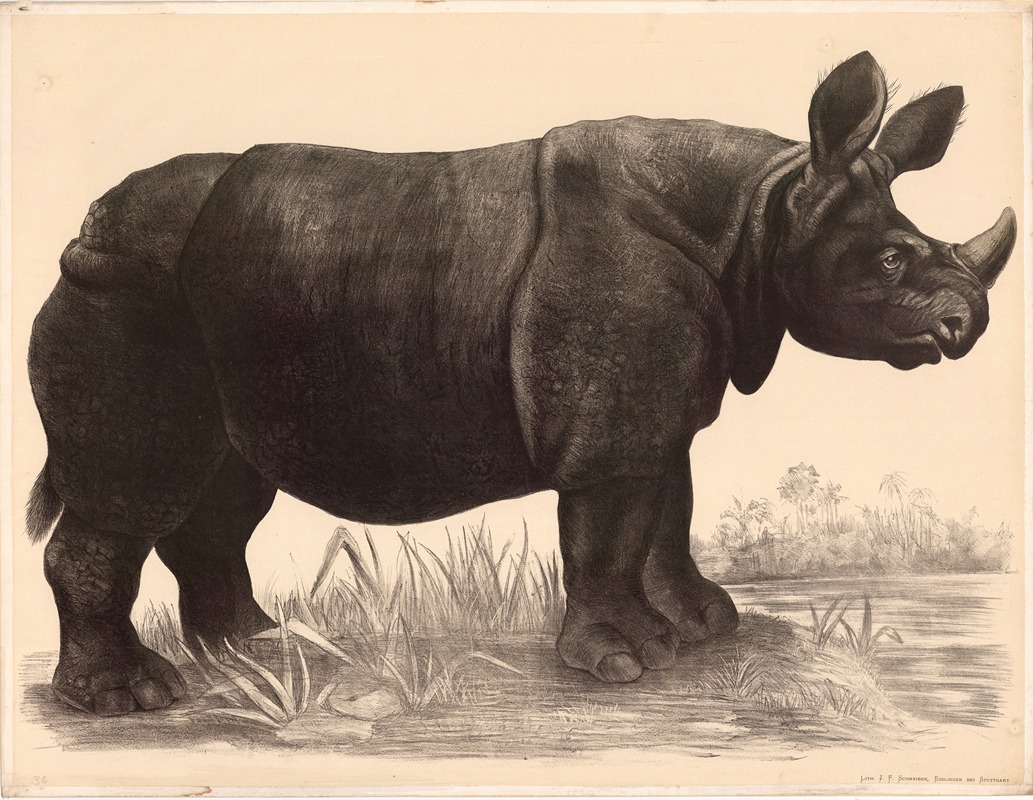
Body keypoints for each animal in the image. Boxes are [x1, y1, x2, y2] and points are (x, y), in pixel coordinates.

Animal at [27, 52, 1015, 715]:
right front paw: (624, 664)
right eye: (889, 262)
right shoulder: (610, 416)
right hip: (128, 291)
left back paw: (253, 648)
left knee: (222, 488)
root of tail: (86, 232)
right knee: (136, 487)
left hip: (207, 307)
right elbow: (611, 529)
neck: (759, 213)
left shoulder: (655, 405)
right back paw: (132, 700)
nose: (965, 325)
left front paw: (703, 627)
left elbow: (667, 510)